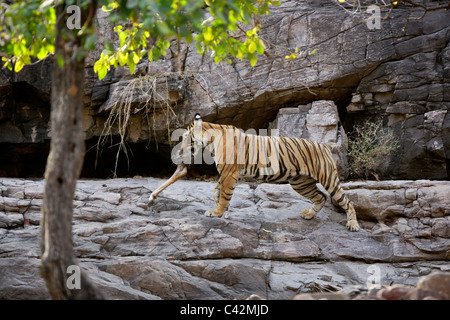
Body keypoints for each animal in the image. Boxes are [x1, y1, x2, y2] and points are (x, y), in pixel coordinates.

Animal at [149, 114, 360, 231]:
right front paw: (217, 203)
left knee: (346, 201)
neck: (210, 141)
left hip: (327, 178)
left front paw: (216, 212)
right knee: (321, 197)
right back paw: (308, 215)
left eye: (186, 137)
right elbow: (217, 189)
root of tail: (324, 145)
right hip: (300, 182)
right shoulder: (226, 173)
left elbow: (224, 194)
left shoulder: (229, 173)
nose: (180, 151)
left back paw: (353, 225)